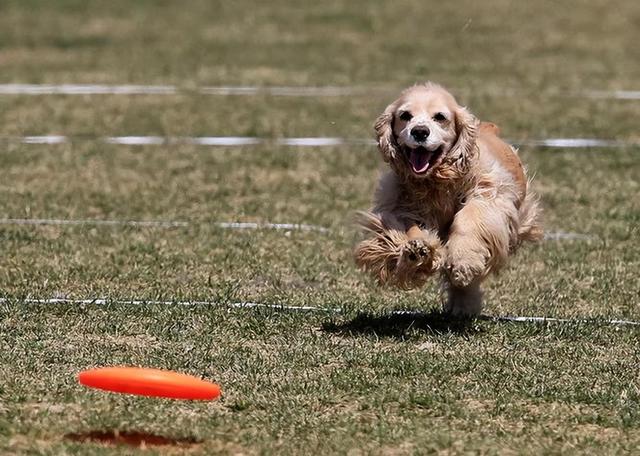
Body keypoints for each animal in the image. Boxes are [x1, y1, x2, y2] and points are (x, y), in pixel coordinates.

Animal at [352, 82, 544, 316]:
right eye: (405, 115)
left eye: (440, 117)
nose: (420, 131)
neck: (436, 180)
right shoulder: (401, 204)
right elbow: (409, 229)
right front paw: (417, 251)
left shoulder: (489, 196)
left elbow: (469, 219)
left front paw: (463, 262)